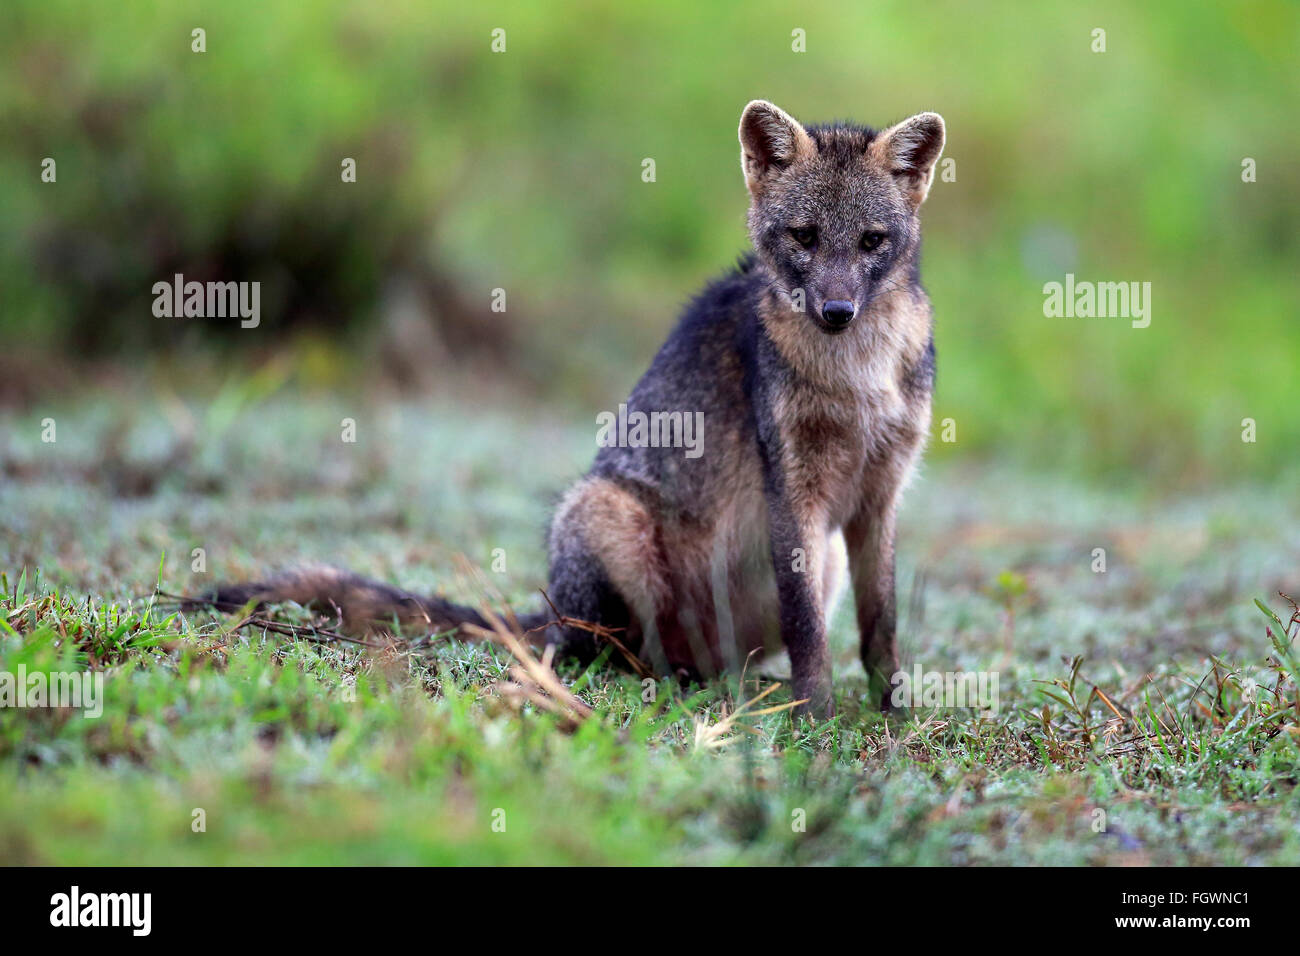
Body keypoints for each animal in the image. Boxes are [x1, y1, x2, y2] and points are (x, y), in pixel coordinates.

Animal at [201, 100, 946, 718]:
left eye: (872, 241)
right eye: (805, 237)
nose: (837, 312)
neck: (857, 381)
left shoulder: (881, 497)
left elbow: (882, 625)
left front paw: (891, 711)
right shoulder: (793, 492)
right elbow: (807, 630)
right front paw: (816, 715)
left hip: (815, 562)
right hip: (607, 521)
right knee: (613, 654)